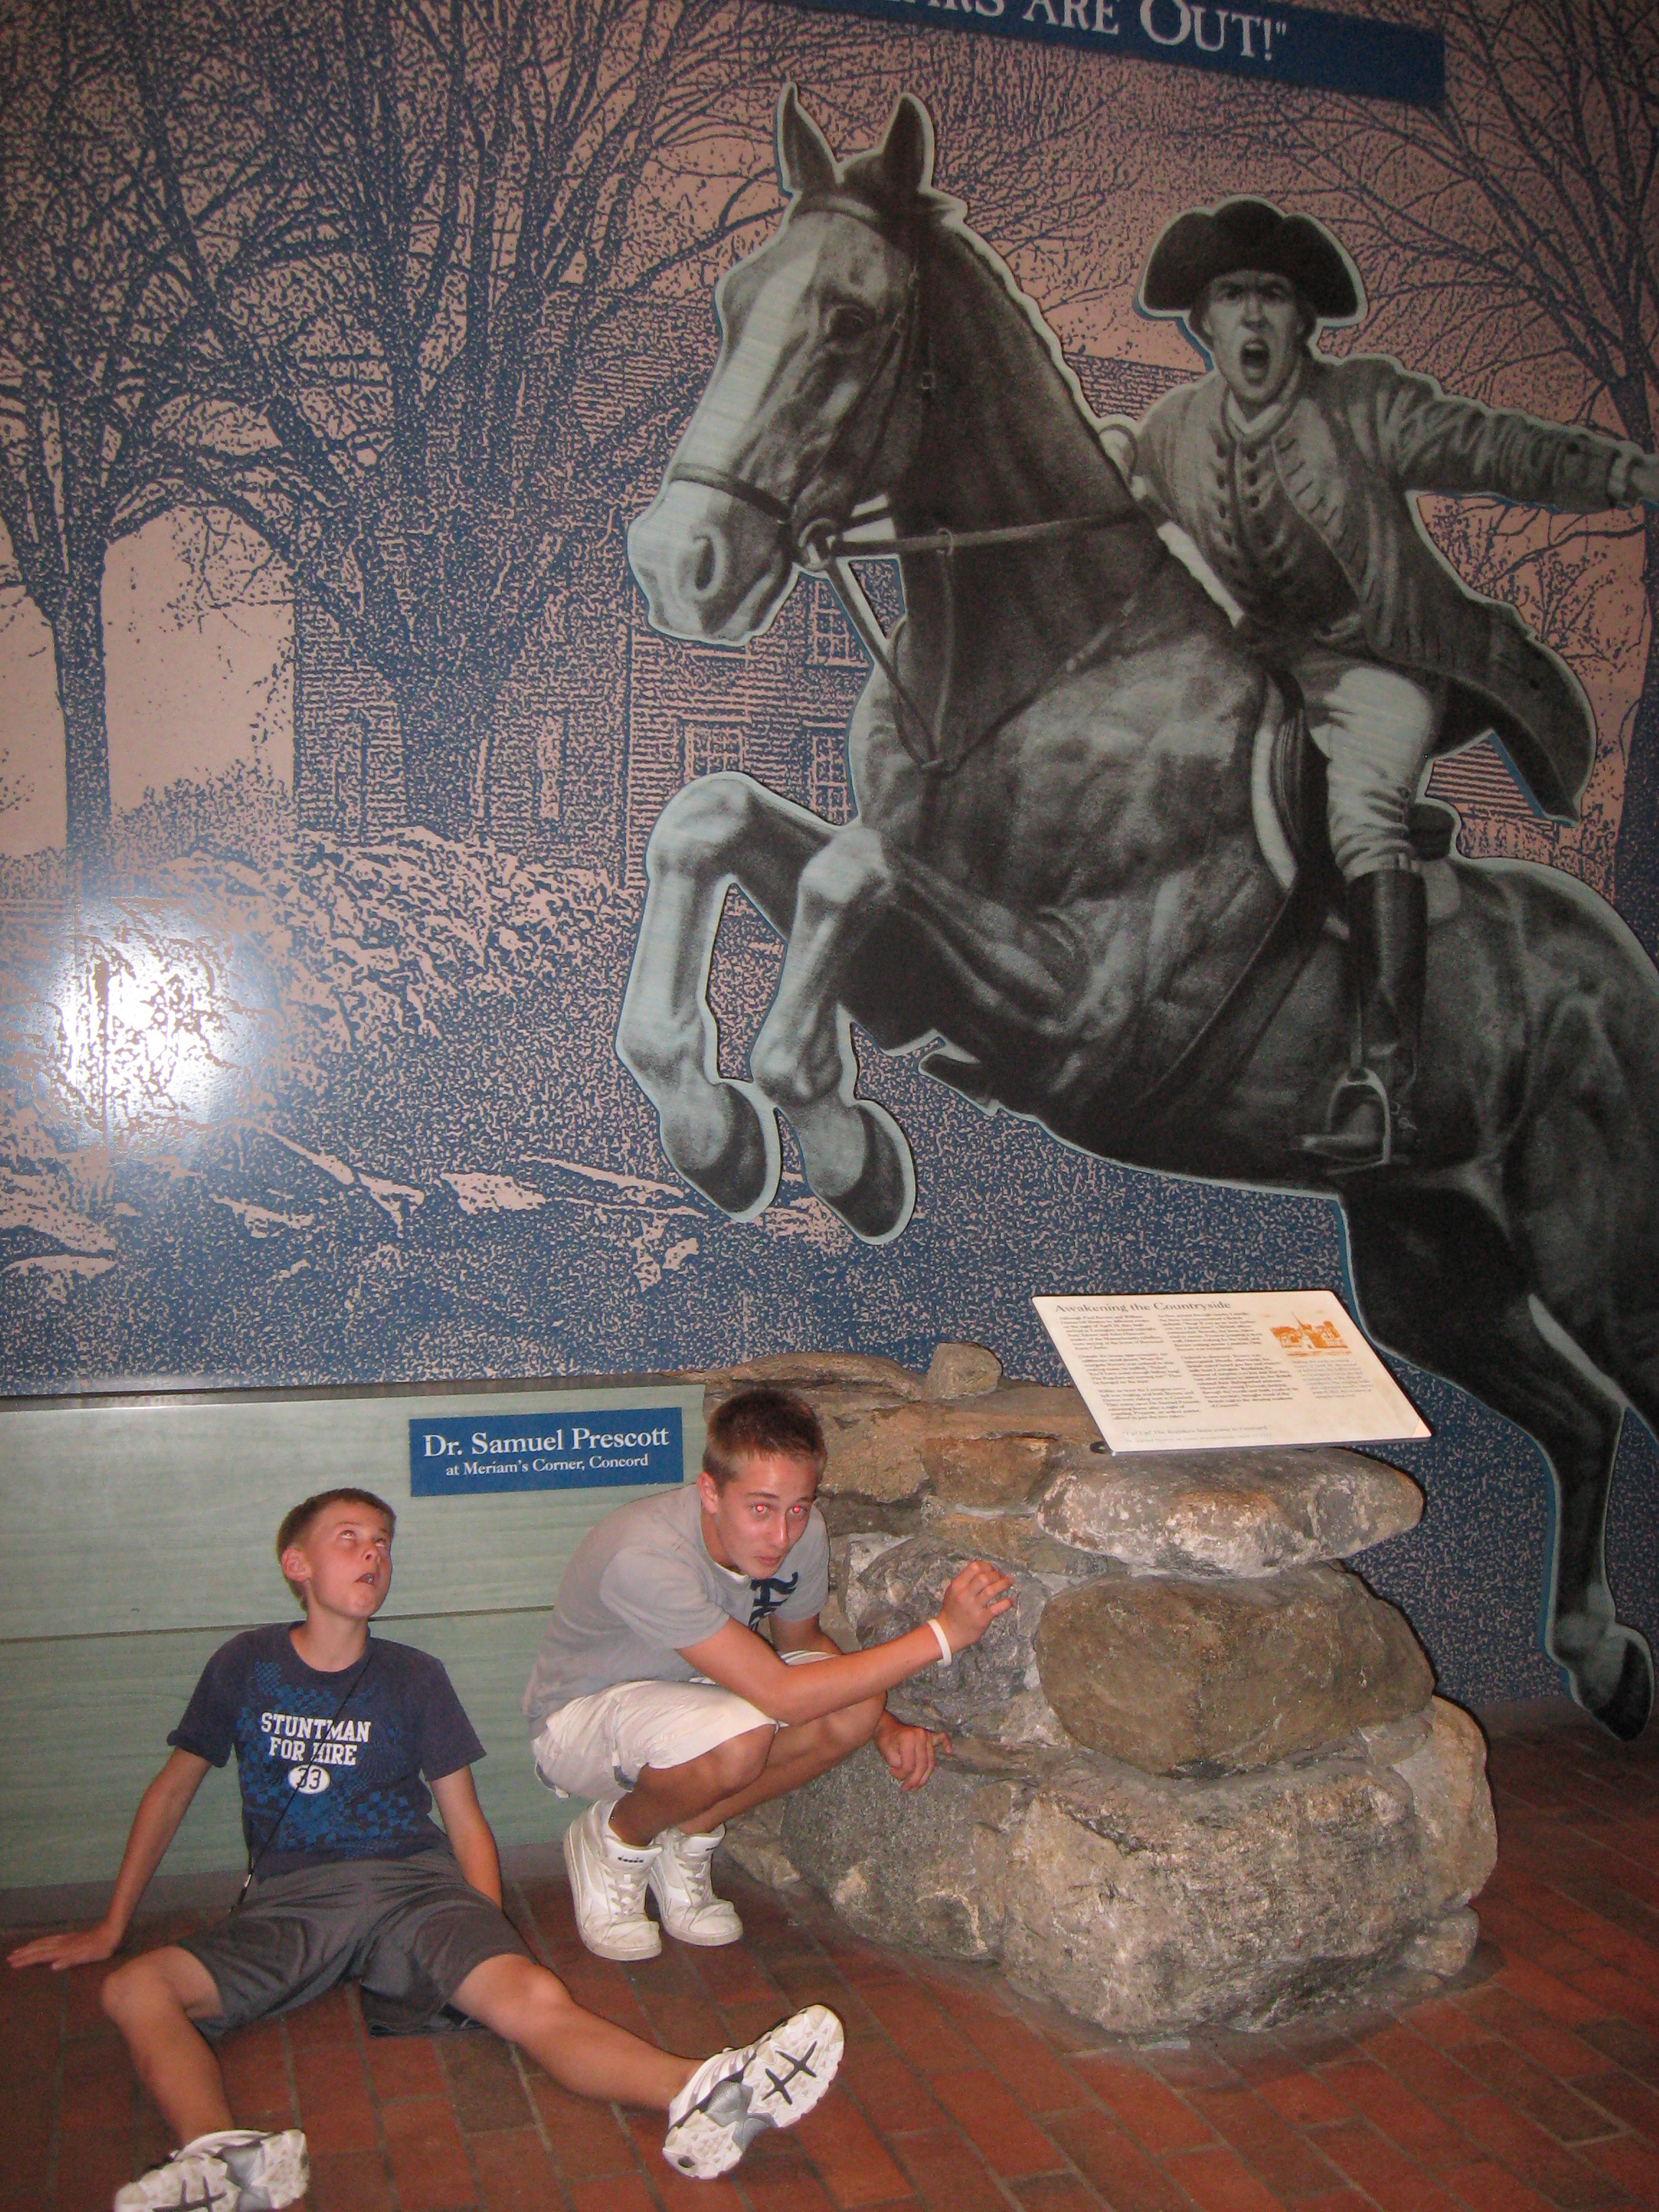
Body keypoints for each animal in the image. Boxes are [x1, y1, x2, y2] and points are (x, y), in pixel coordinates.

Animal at [621, 85, 1659, 1740]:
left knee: (1621, 1387)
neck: (1041, 665)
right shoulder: (924, 956)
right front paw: (723, 1125)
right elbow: (713, 818)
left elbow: (841, 877)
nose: (677, 568)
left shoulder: (1085, 1017)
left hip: (1600, 1258)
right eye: (728, 305)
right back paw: (1599, 1655)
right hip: (1434, 1267)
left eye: (847, 321)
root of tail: (1621, 963)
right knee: (1581, 1415)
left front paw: (827, 1136)